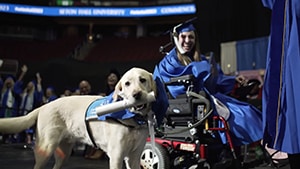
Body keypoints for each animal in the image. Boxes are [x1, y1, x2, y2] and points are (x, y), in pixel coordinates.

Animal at [0, 67, 157, 169]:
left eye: (142, 80)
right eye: (127, 84)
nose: (136, 95)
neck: (133, 120)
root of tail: (43, 106)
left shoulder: (134, 157)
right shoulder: (116, 156)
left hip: (63, 154)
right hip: (45, 150)